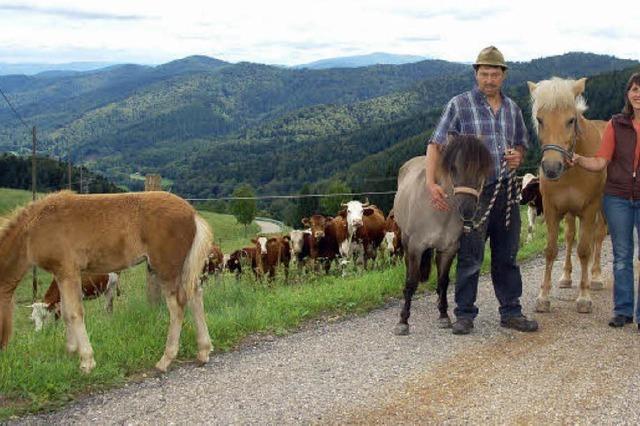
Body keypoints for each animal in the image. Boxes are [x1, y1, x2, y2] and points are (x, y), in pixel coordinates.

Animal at [0, 191, 215, 372]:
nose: (2, 351)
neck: (32, 230)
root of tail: (192, 213)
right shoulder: (61, 274)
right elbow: (67, 313)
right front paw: (71, 350)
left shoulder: (68, 271)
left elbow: (75, 313)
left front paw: (87, 361)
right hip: (184, 266)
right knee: (195, 295)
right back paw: (203, 351)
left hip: (166, 268)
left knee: (177, 306)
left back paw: (166, 359)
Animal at [528, 77, 608, 312]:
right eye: (540, 119)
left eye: (571, 120)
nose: (552, 167)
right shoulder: (552, 209)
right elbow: (552, 249)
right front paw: (544, 296)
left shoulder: (590, 209)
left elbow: (584, 250)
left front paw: (584, 297)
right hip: (571, 212)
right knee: (571, 236)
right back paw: (565, 276)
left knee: (598, 236)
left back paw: (596, 277)